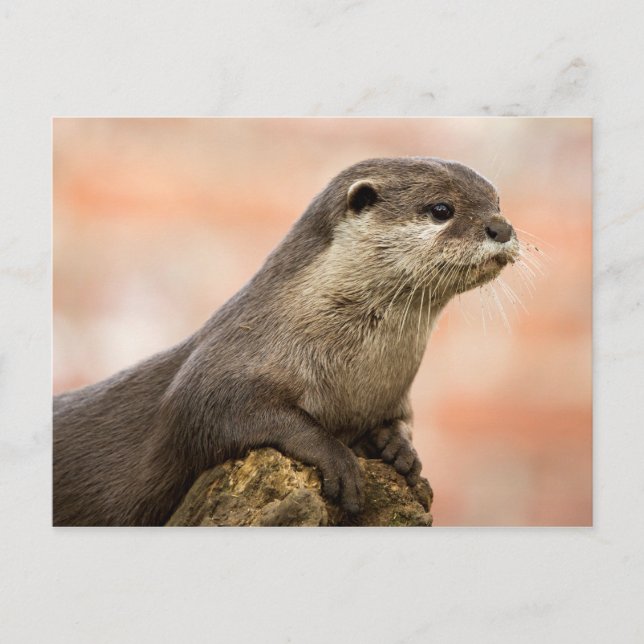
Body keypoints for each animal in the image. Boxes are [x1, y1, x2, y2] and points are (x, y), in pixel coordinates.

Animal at [53, 157, 519, 526]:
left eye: (497, 203)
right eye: (442, 209)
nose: (501, 227)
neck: (354, 379)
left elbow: (398, 421)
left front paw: (399, 448)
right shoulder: (223, 368)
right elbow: (211, 412)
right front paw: (336, 457)